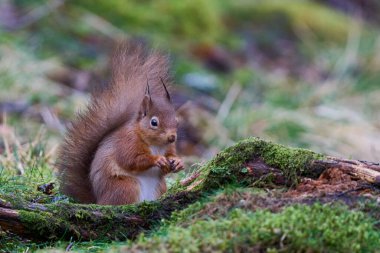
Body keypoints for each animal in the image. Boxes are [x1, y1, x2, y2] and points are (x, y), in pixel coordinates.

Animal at [56, 42, 186, 205]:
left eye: (177, 121)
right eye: (154, 122)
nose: (172, 137)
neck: (155, 144)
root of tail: (98, 200)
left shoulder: (168, 147)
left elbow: (170, 156)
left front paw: (178, 161)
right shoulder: (127, 142)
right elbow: (131, 160)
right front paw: (157, 159)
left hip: (159, 186)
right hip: (126, 186)